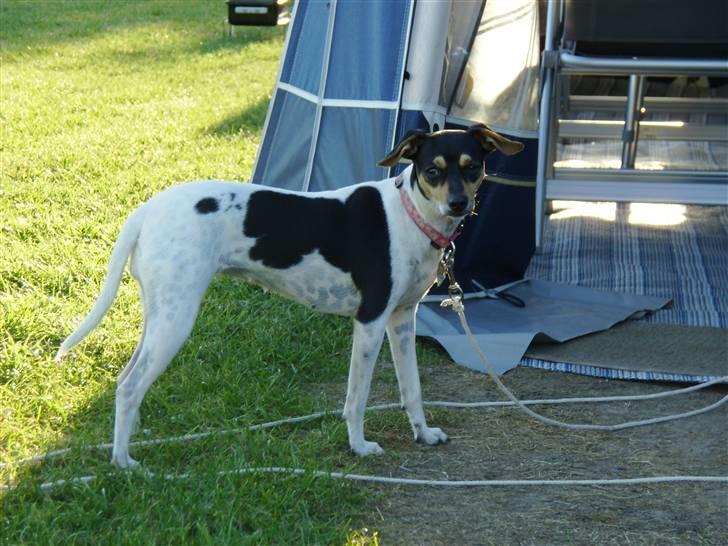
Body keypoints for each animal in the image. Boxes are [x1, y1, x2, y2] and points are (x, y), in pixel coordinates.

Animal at [57, 125, 524, 466]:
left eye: (472, 167)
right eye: (432, 171)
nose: (459, 204)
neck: (410, 216)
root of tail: (145, 212)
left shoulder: (402, 321)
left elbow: (413, 390)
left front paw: (423, 434)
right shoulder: (370, 323)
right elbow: (357, 399)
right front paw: (359, 447)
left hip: (161, 316)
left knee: (126, 379)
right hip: (176, 320)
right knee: (130, 385)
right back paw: (123, 463)